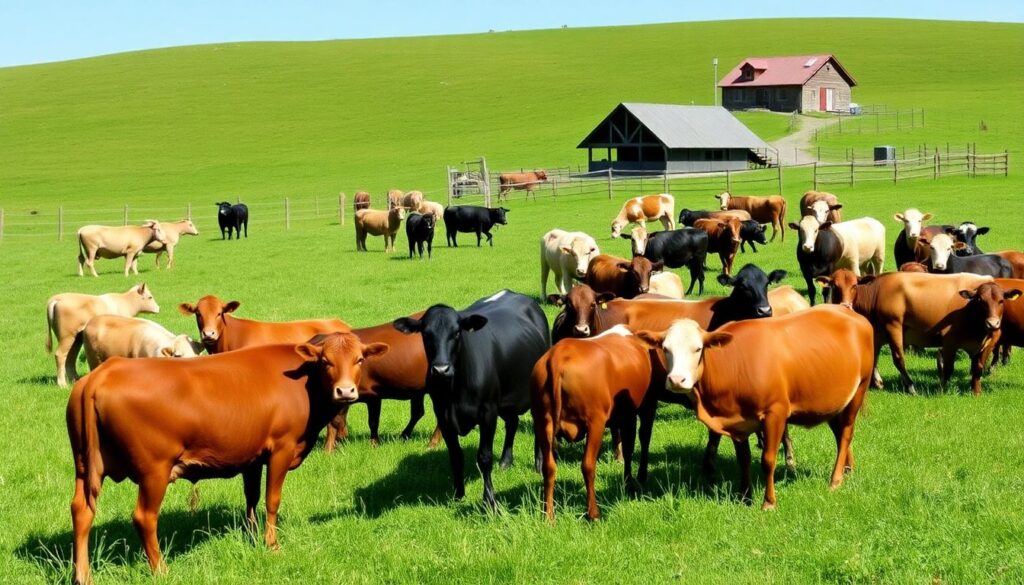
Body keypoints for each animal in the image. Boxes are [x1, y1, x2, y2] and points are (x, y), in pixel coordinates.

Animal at [67, 331, 387, 581]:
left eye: (359, 359)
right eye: (326, 361)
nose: (345, 391)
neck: (304, 382)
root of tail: (102, 373)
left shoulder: (253, 456)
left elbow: (252, 497)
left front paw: (252, 535)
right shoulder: (281, 449)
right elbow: (272, 499)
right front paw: (272, 545)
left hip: (86, 467)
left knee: (81, 511)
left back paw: (82, 575)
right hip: (154, 471)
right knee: (144, 518)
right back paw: (161, 570)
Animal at [393, 290, 552, 508]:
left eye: (457, 333)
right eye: (426, 334)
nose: (441, 369)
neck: (455, 392)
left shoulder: (488, 413)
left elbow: (484, 457)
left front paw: (490, 500)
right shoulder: (443, 415)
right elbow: (455, 456)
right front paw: (458, 494)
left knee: (538, 426)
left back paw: (538, 463)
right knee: (512, 422)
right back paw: (505, 461)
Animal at [528, 327, 663, 524]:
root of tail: (557, 355)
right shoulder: (631, 413)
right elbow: (630, 448)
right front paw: (629, 484)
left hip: (542, 422)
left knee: (549, 467)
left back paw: (549, 516)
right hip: (595, 423)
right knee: (588, 466)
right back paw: (593, 513)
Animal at [638, 305, 872, 510]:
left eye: (698, 348)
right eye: (665, 349)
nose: (677, 380)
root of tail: (853, 314)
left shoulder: (775, 413)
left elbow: (768, 459)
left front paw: (768, 502)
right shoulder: (736, 423)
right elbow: (744, 460)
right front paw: (745, 497)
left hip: (859, 389)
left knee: (846, 434)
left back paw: (836, 480)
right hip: (833, 402)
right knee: (840, 435)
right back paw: (848, 470)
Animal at [815, 272, 1015, 395]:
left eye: (855, 285)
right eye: (834, 285)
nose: (845, 305)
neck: (876, 292)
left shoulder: (893, 324)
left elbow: (898, 358)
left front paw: (910, 386)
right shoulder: (877, 332)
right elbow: (874, 357)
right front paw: (876, 383)